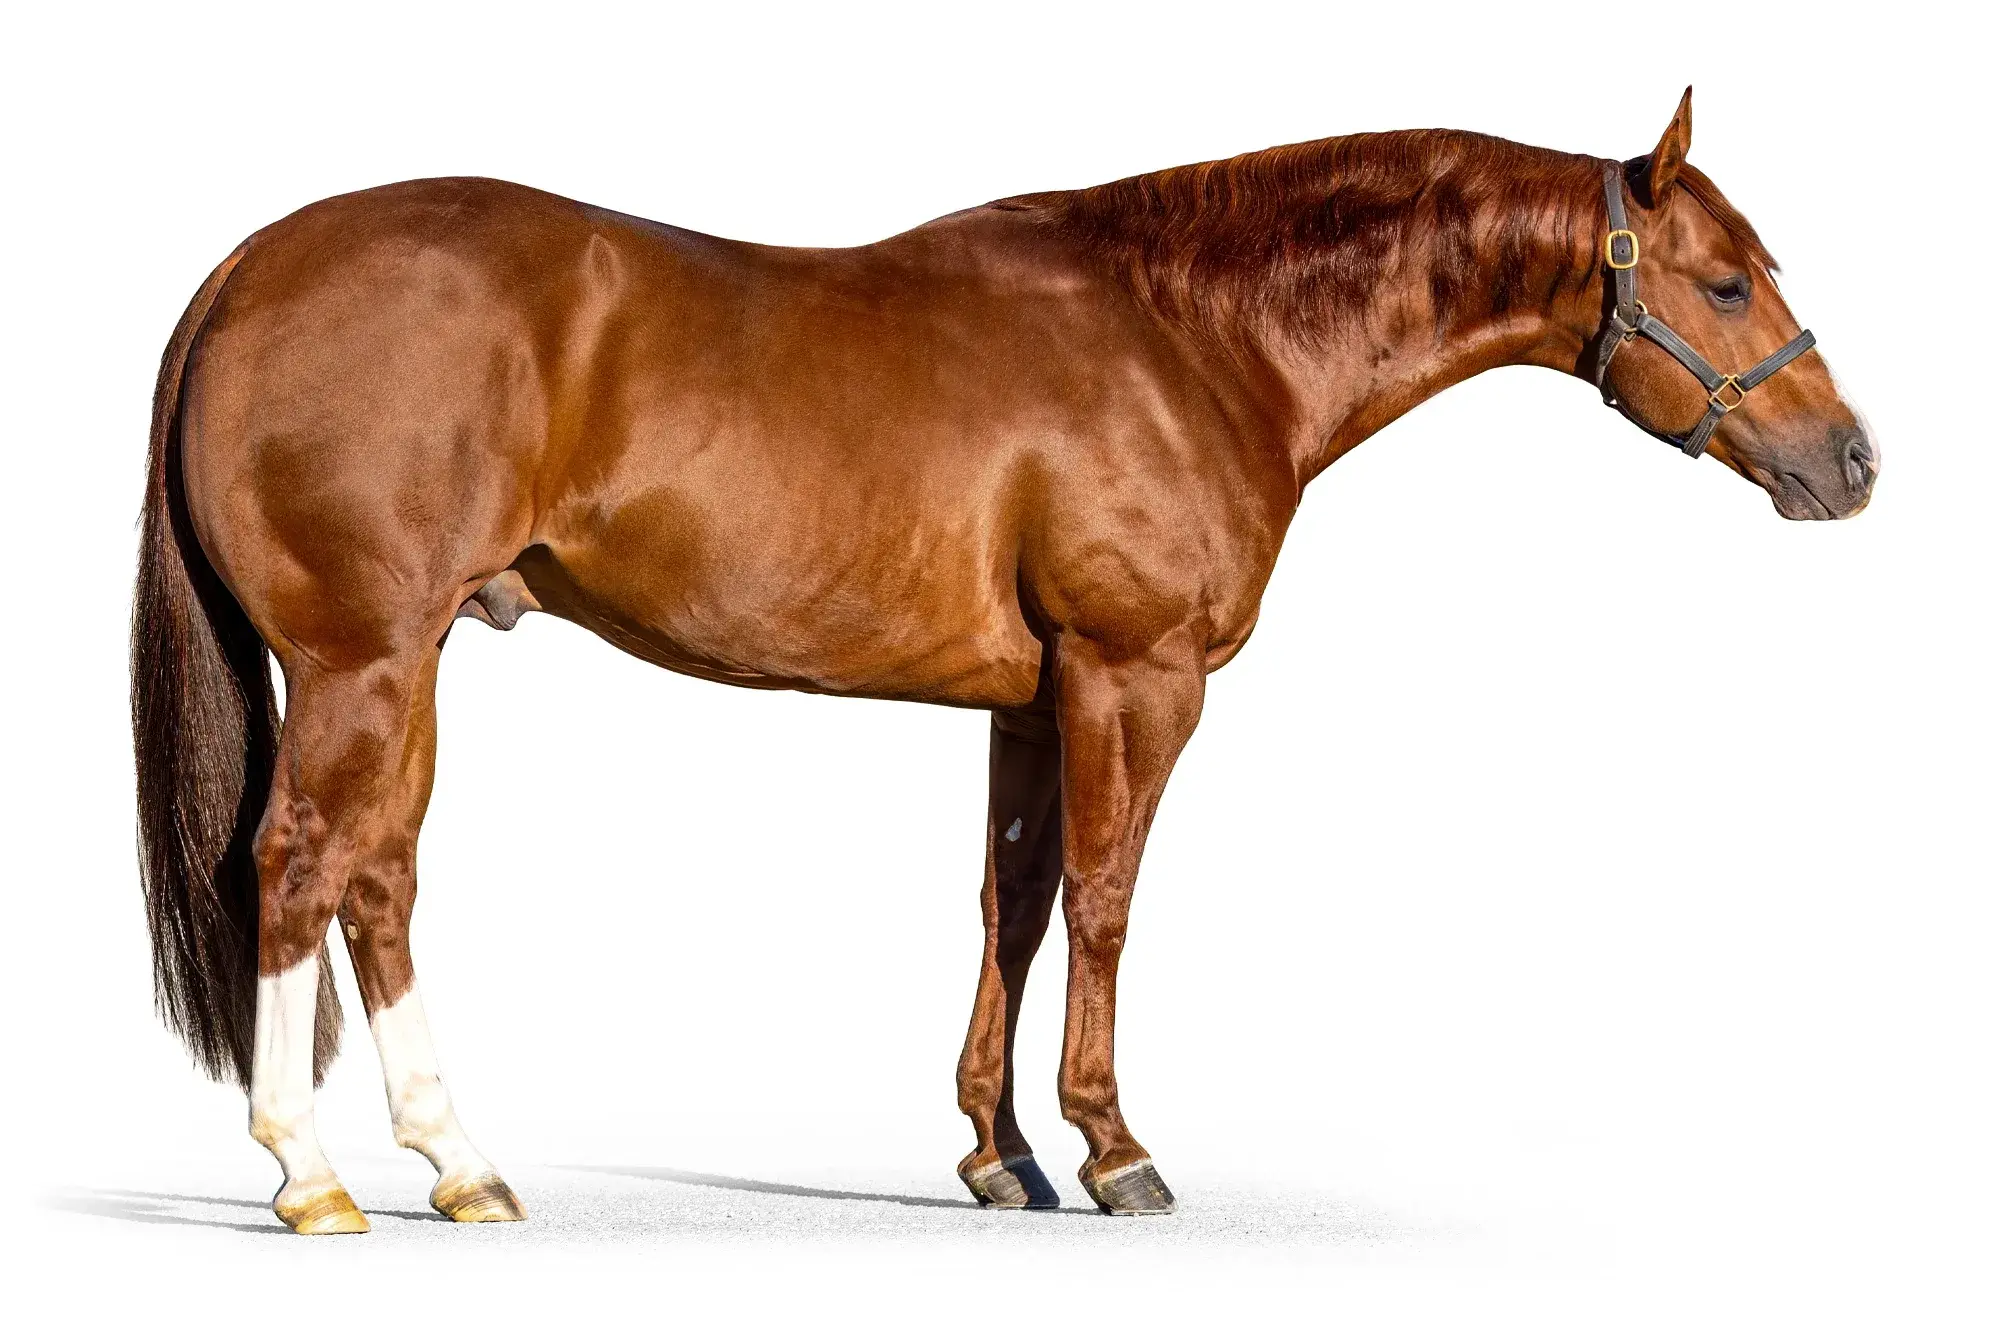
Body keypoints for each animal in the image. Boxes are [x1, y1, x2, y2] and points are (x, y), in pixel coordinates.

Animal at [131, 87, 1876, 1234]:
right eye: (1726, 280)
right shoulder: (1134, 675)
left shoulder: (1030, 702)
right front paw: (1112, 1150)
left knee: (379, 881)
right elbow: (1105, 904)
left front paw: (1000, 1152)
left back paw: (462, 1165)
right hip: (362, 659)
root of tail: (251, 265)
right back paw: (311, 1175)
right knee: (300, 865)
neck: (1190, 338)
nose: (1851, 462)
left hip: (408, 664)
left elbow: (1015, 904)